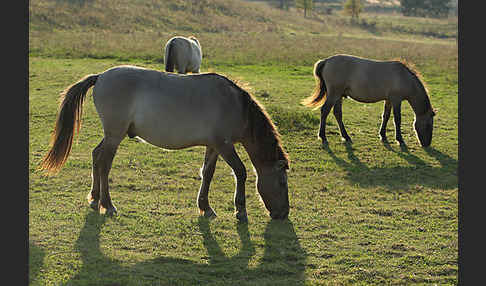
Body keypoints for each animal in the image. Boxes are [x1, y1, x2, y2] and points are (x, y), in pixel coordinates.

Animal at [39, 65, 290, 221]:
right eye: (281, 183)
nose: (284, 213)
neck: (234, 104)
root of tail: (101, 76)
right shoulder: (224, 145)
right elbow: (241, 172)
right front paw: (240, 211)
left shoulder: (213, 146)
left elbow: (207, 174)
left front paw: (205, 208)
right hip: (114, 136)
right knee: (103, 163)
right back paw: (107, 205)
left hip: (111, 135)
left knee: (95, 155)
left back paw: (94, 198)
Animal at [302, 54, 434, 147]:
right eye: (428, 125)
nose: (426, 144)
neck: (403, 77)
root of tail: (326, 61)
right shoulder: (396, 100)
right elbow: (397, 119)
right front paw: (400, 140)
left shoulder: (389, 100)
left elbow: (386, 116)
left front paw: (383, 135)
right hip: (334, 94)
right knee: (325, 111)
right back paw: (323, 136)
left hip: (338, 96)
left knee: (337, 114)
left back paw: (346, 136)